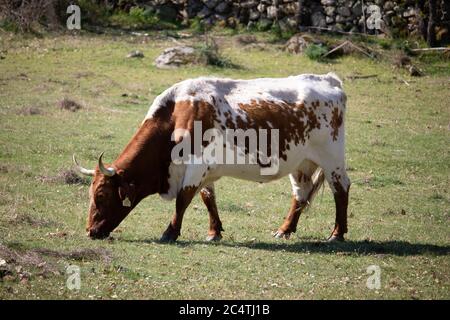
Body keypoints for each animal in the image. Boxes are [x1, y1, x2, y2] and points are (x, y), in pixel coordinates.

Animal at [73, 72, 352, 242]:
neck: (177, 115)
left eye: (101, 195)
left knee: (341, 189)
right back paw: (284, 230)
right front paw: (214, 231)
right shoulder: (206, 171)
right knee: (300, 194)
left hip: (332, 159)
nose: (90, 231)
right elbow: (208, 198)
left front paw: (170, 232)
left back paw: (336, 234)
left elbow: (183, 199)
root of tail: (329, 80)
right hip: (301, 162)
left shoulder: (195, 167)